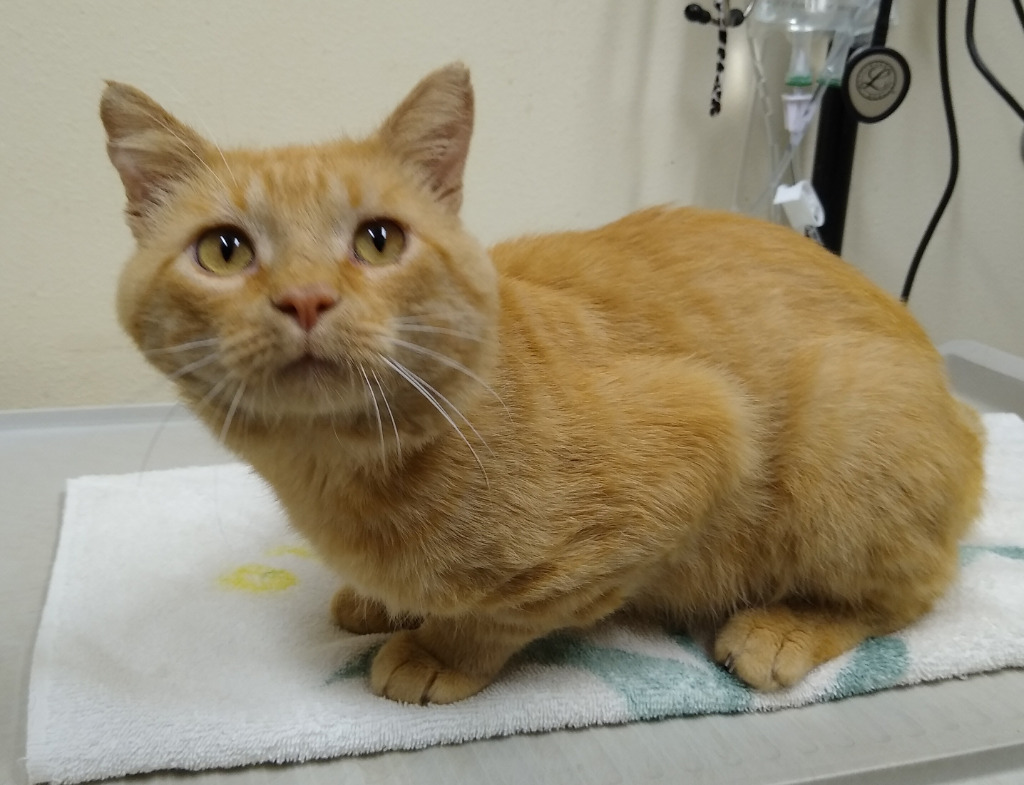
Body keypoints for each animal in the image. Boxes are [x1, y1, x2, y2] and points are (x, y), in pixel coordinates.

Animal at [101, 66, 983, 704]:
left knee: (917, 587)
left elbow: (509, 610)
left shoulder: (705, 433)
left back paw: (786, 627)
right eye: (223, 251)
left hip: (847, 418)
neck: (341, 472)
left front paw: (438, 647)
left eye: (378, 240)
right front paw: (379, 600)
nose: (306, 298)